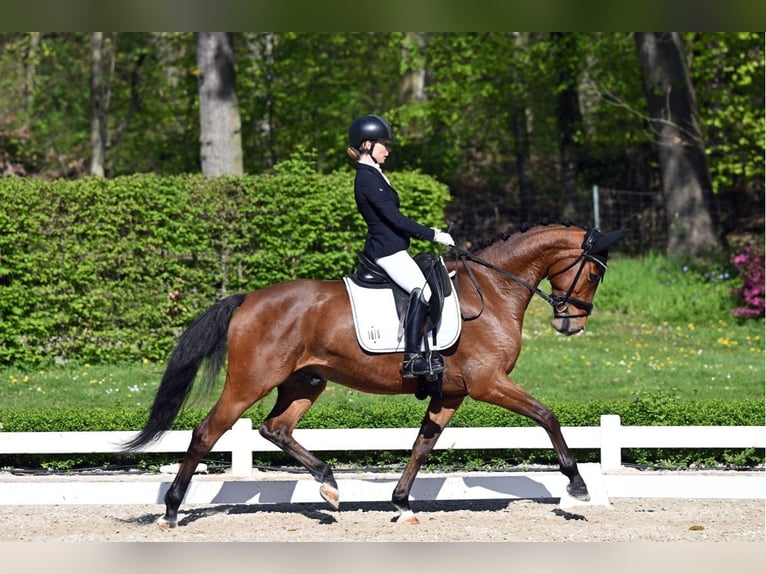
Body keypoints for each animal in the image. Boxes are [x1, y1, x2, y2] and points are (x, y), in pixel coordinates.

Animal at [123, 220, 628, 528]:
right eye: (594, 275)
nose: (571, 325)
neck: (495, 289)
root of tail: (248, 299)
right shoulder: (488, 384)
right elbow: (547, 416)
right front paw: (578, 484)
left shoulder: (452, 393)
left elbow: (422, 446)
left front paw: (402, 505)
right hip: (250, 382)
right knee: (207, 431)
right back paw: (171, 510)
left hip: (306, 381)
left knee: (275, 428)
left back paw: (328, 485)